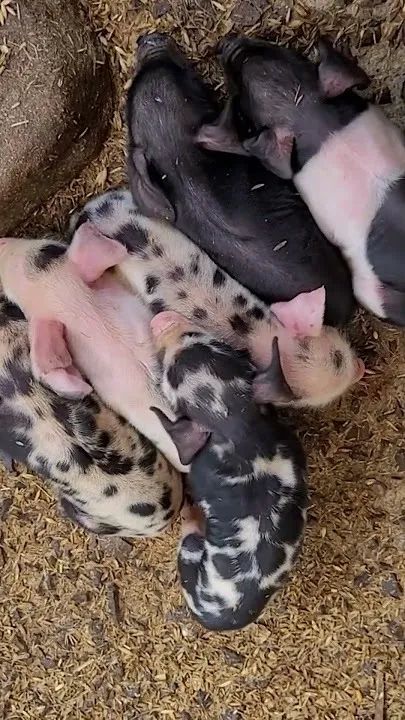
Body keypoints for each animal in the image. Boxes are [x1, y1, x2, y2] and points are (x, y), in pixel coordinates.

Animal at [149, 310, 307, 631]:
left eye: (169, 375)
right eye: (211, 342)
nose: (161, 319)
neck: (236, 427)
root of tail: (220, 617)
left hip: (191, 547)